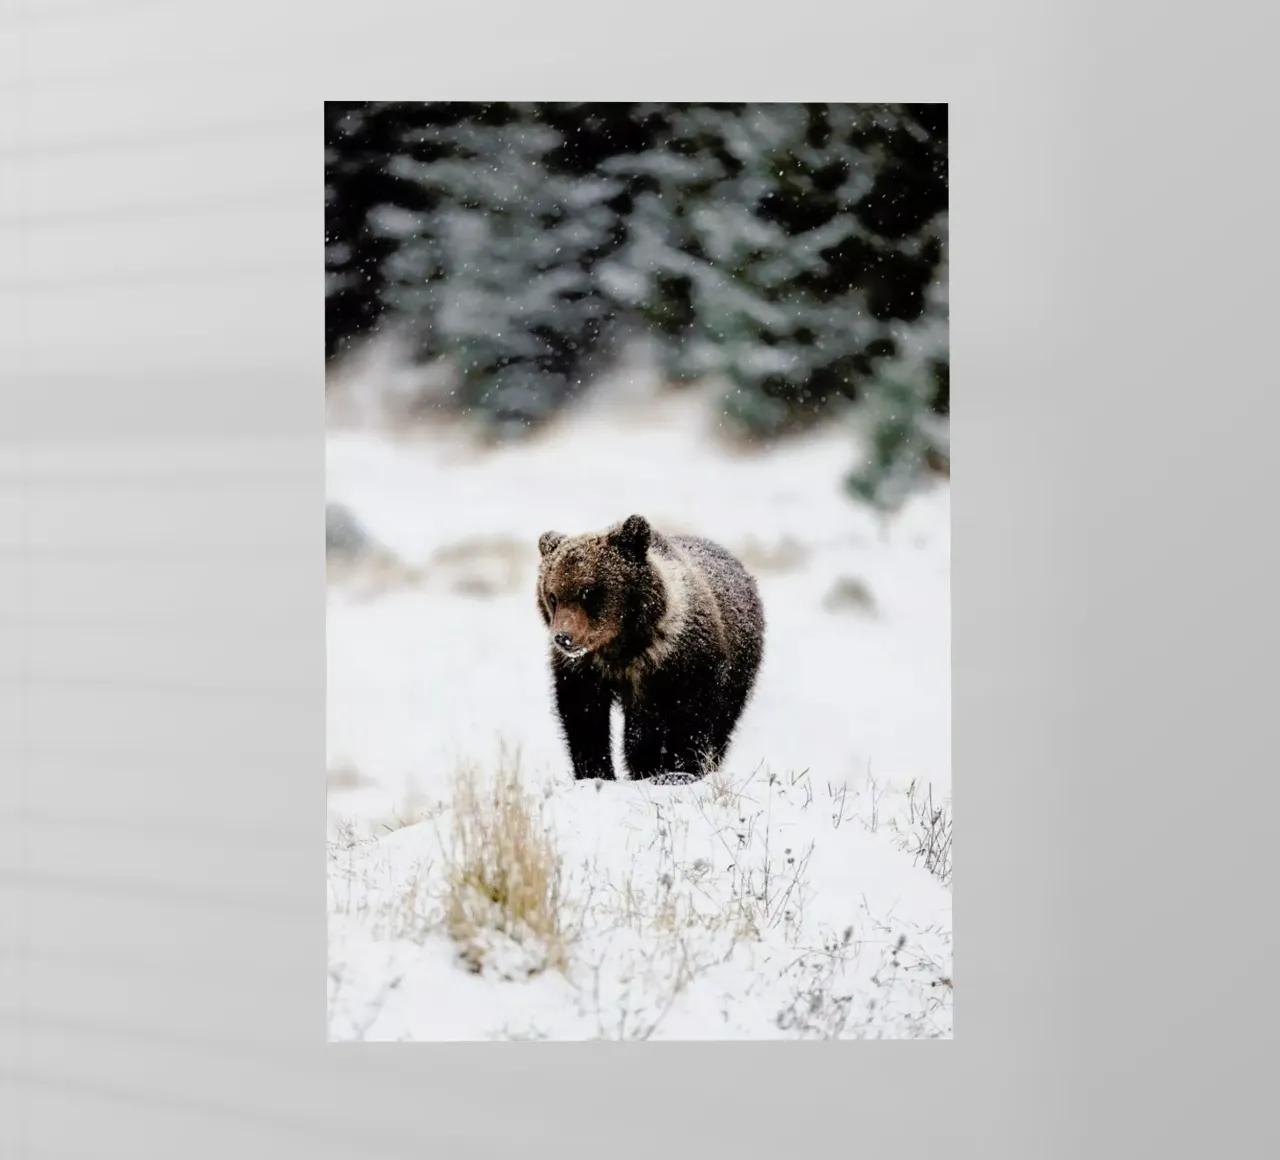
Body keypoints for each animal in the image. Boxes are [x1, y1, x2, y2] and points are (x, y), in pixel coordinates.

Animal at [535, 514, 765, 782]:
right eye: (553, 596)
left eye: (587, 592)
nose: (563, 637)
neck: (622, 647)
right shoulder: (585, 670)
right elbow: (584, 719)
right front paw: (597, 772)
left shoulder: (683, 663)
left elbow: (689, 719)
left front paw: (679, 770)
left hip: (740, 668)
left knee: (723, 722)